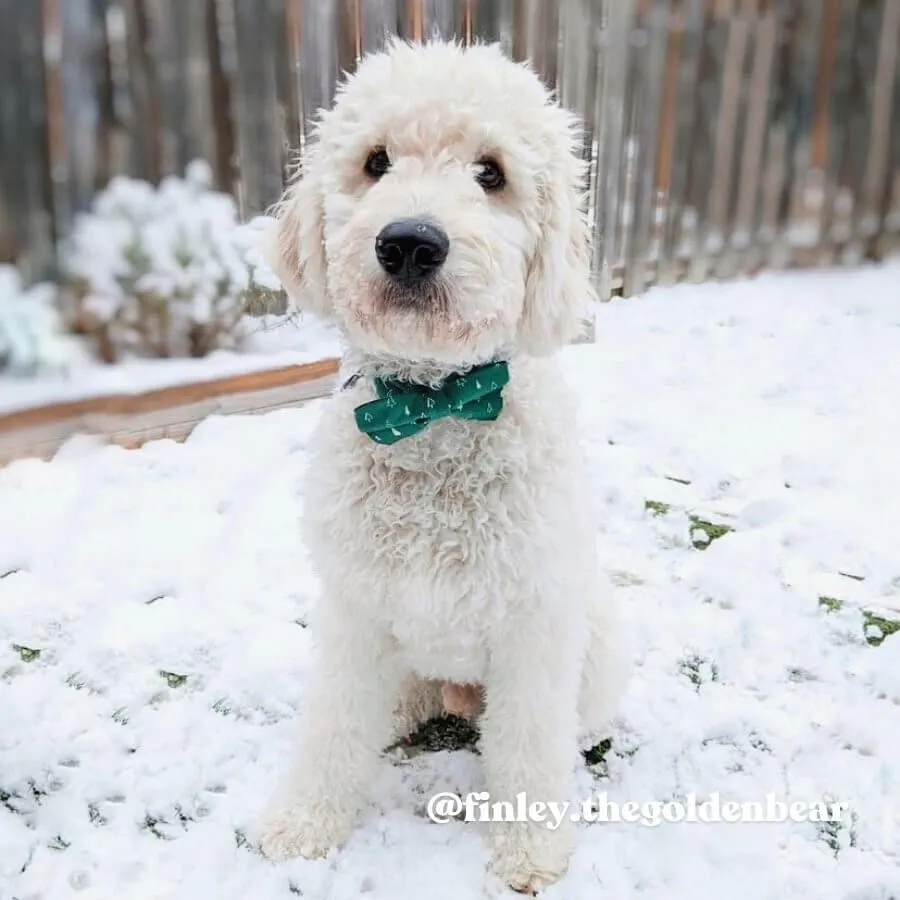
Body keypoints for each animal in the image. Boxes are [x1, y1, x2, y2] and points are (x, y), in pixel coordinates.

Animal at [258, 40, 624, 892]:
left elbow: (528, 744)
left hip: (592, 640)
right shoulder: (354, 609)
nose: (410, 242)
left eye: (491, 172)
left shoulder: (534, 627)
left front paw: (531, 851)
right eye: (375, 161)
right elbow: (331, 727)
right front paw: (303, 823)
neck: (433, 411)